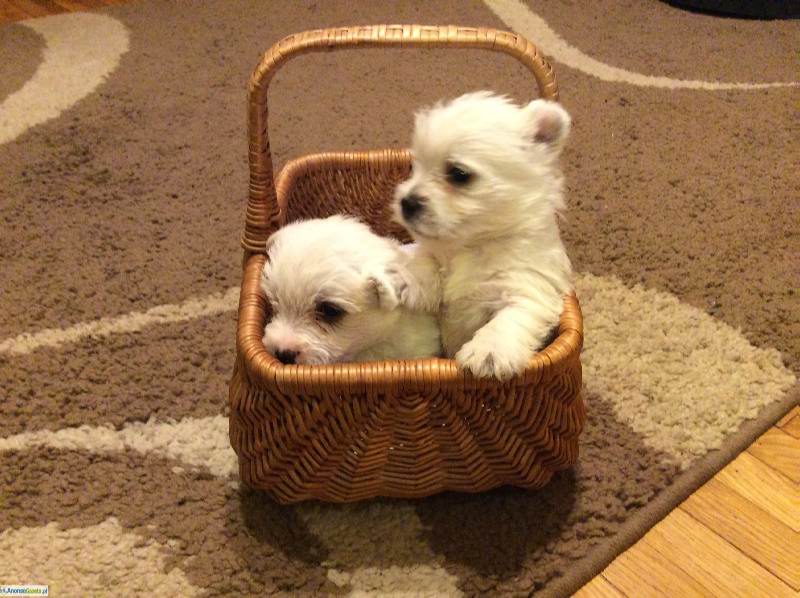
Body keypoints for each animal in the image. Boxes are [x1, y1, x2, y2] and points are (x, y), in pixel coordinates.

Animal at [392, 91, 568, 382]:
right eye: (414, 166)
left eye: (458, 174)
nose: (406, 202)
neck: (470, 245)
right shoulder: (431, 246)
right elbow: (423, 254)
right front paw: (411, 279)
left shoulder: (527, 288)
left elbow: (508, 319)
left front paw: (489, 351)